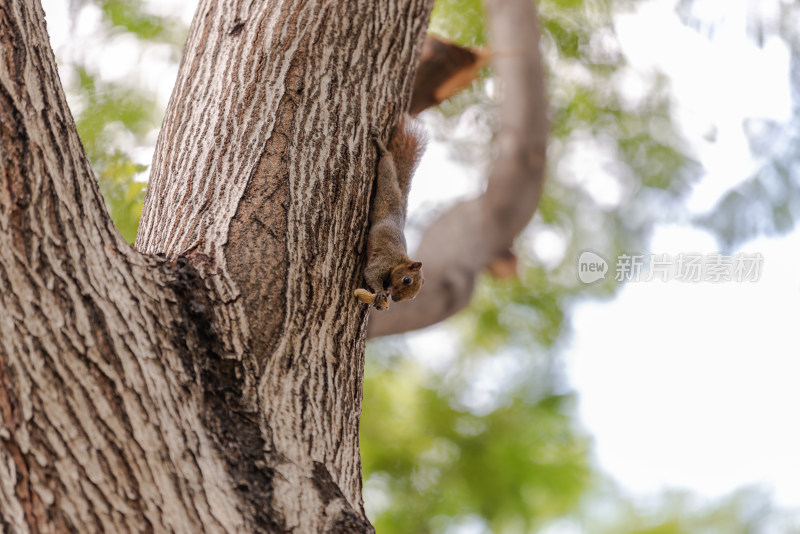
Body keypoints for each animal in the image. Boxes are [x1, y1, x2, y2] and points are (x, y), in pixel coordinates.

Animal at [352, 116, 422, 310]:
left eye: (413, 296)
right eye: (407, 280)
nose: (396, 299)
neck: (399, 262)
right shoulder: (385, 260)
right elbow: (371, 273)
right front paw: (380, 292)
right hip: (388, 187)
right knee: (387, 166)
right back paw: (381, 147)